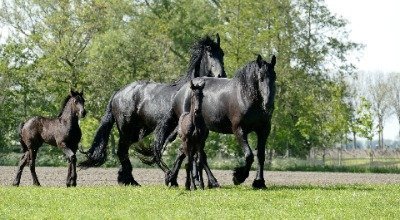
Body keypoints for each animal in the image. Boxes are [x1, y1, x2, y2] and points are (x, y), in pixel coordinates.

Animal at [79, 34, 225, 186]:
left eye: (222, 53)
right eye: (210, 53)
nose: (221, 75)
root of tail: (118, 92)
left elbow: (192, 153)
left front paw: (188, 180)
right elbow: (185, 153)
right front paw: (175, 178)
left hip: (137, 131)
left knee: (124, 151)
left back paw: (126, 179)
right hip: (126, 129)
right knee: (122, 150)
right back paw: (130, 180)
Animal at [153, 54, 276, 188]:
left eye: (274, 77)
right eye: (261, 78)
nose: (268, 104)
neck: (244, 96)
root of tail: (180, 91)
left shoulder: (263, 130)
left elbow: (261, 155)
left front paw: (259, 182)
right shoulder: (239, 130)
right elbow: (249, 155)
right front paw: (238, 177)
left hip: (201, 133)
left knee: (189, 154)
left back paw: (177, 180)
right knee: (192, 154)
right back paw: (204, 181)